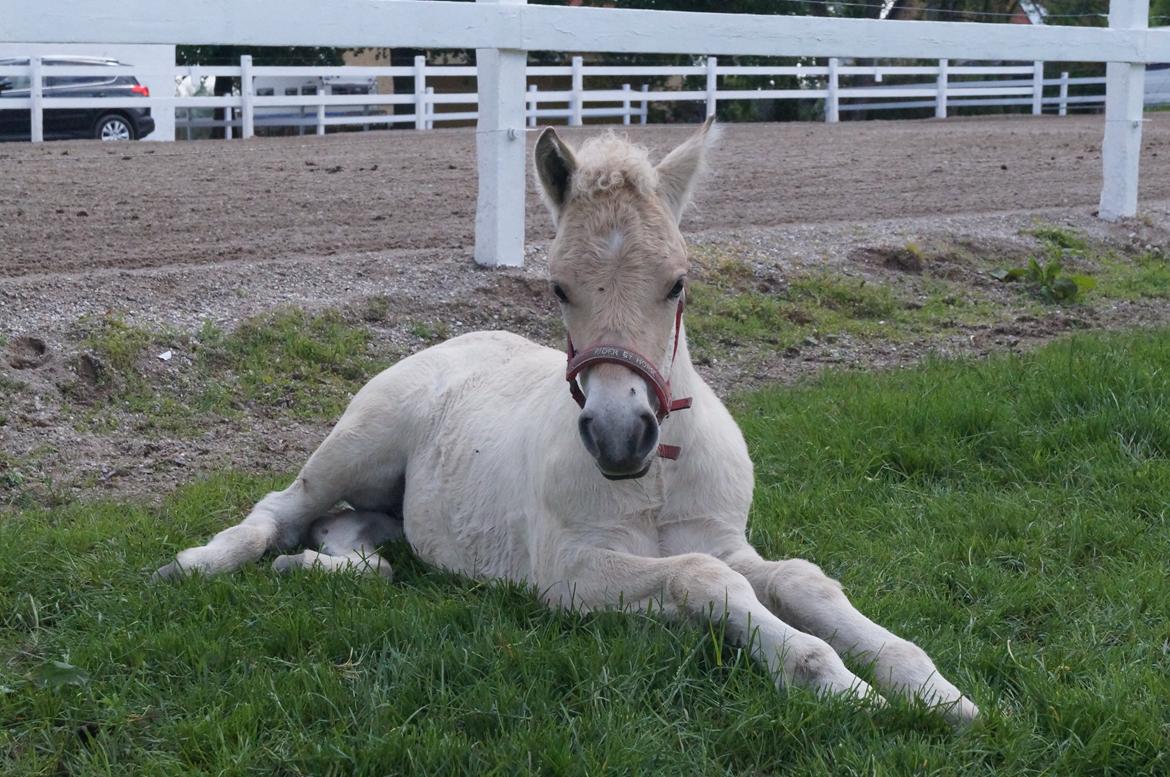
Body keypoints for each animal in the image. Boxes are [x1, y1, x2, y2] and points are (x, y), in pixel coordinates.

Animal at [155, 118, 978, 725]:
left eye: (678, 281)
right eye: (557, 287)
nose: (619, 436)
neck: (657, 476)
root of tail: (454, 342)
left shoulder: (723, 538)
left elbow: (804, 580)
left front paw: (933, 688)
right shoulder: (571, 572)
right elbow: (704, 580)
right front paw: (834, 682)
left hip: (401, 506)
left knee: (355, 535)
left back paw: (316, 567)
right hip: (360, 444)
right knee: (285, 507)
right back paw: (197, 564)